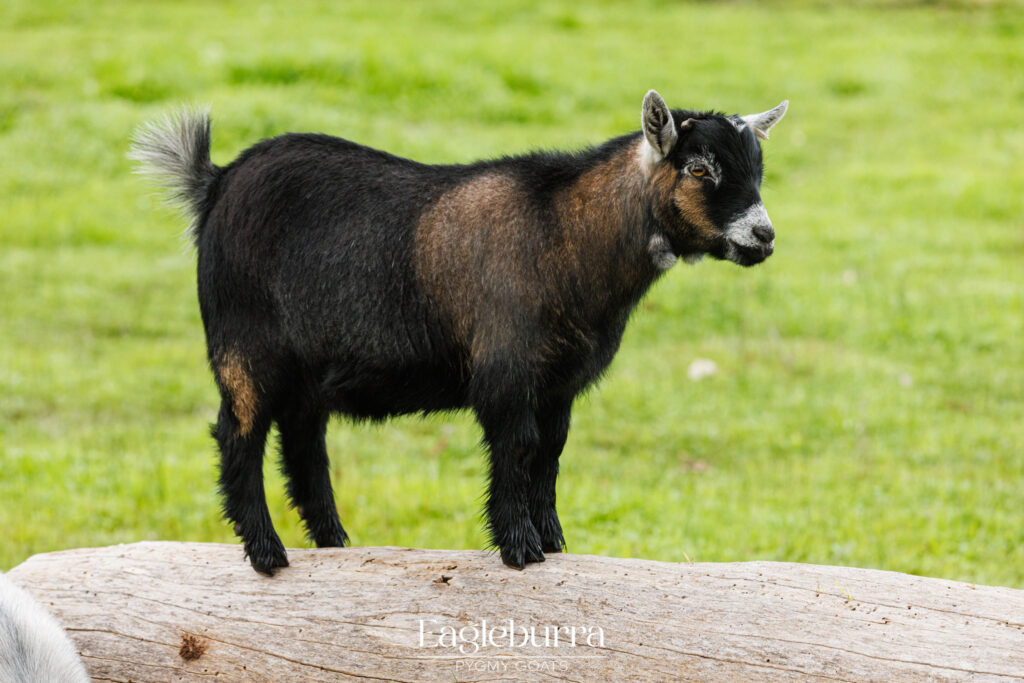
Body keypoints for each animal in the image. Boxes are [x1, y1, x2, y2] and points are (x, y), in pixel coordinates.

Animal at [131, 90, 788, 574]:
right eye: (699, 168)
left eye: (757, 168)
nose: (763, 237)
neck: (566, 235)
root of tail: (215, 182)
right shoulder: (507, 371)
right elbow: (517, 449)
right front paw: (519, 549)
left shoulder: (559, 382)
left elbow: (550, 454)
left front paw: (553, 542)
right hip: (245, 348)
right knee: (237, 437)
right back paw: (267, 554)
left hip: (307, 369)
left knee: (303, 447)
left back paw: (335, 544)